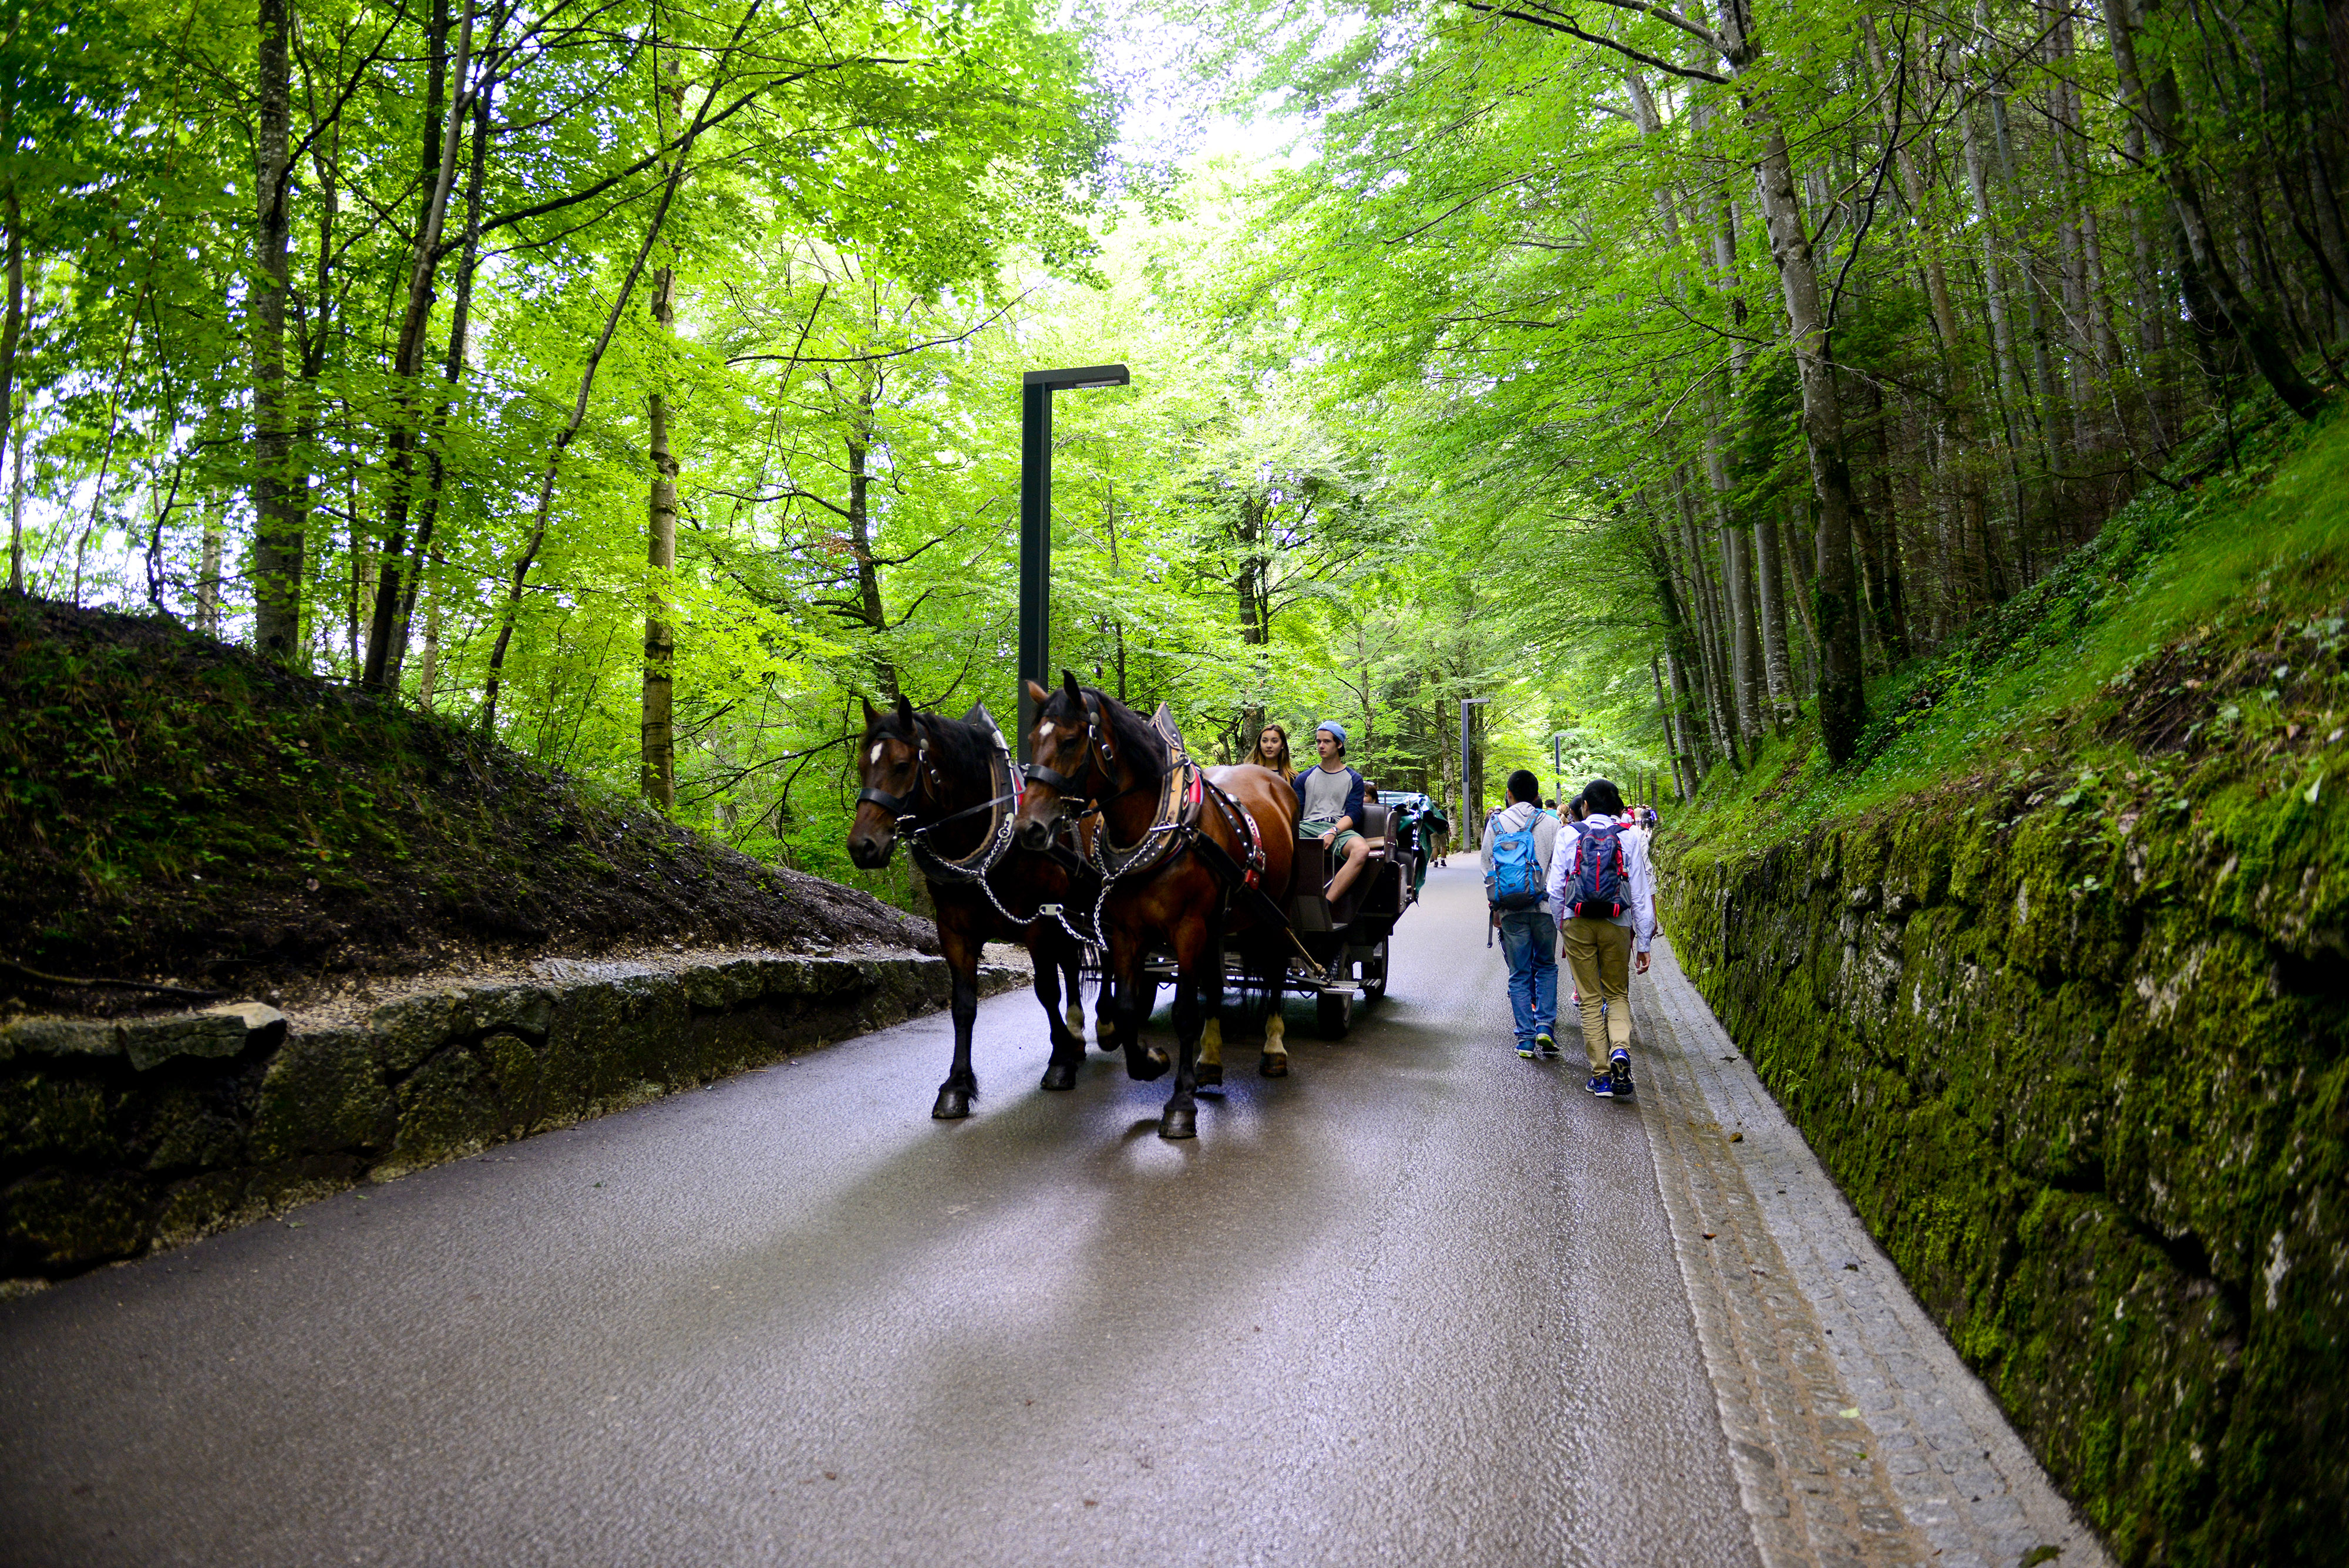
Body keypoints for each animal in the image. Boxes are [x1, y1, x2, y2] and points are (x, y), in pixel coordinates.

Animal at [850, 695, 1095, 1112]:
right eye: (863, 765)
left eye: (902, 765)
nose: (861, 846)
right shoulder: (955, 931)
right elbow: (963, 1006)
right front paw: (956, 1085)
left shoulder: (1039, 923)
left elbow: (1047, 990)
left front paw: (1060, 1062)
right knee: (1072, 962)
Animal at [1015, 676, 1306, 1140]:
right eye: (1031, 740)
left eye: (1071, 739)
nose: (1029, 828)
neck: (1158, 826)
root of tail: (1273, 779)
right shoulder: (1128, 932)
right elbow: (1128, 1007)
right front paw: (1150, 1062)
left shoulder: (1187, 929)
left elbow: (1185, 1012)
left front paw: (1181, 1104)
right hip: (1217, 924)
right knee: (1216, 984)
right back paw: (1210, 1060)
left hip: (1274, 909)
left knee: (1276, 968)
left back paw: (1274, 1048)